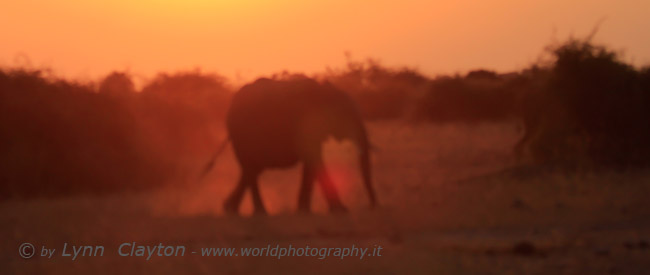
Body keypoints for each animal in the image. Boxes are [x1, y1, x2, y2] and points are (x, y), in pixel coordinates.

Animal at [221, 75, 374, 216]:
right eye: (345, 114)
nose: (373, 205)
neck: (325, 92)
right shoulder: (306, 124)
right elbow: (315, 160)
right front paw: (341, 210)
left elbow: (311, 164)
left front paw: (304, 211)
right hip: (243, 135)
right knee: (251, 170)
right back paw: (259, 212)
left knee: (251, 170)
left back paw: (230, 209)